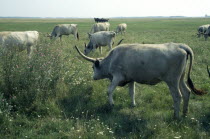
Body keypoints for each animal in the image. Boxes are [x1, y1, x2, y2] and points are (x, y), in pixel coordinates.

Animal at [74, 42, 206, 118]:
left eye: (93, 67)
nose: (93, 77)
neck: (111, 58)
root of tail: (180, 46)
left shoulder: (117, 77)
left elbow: (109, 90)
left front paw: (111, 104)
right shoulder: (131, 79)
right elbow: (132, 92)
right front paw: (133, 104)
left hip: (172, 81)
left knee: (178, 96)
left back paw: (176, 116)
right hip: (180, 78)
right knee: (186, 92)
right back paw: (184, 113)